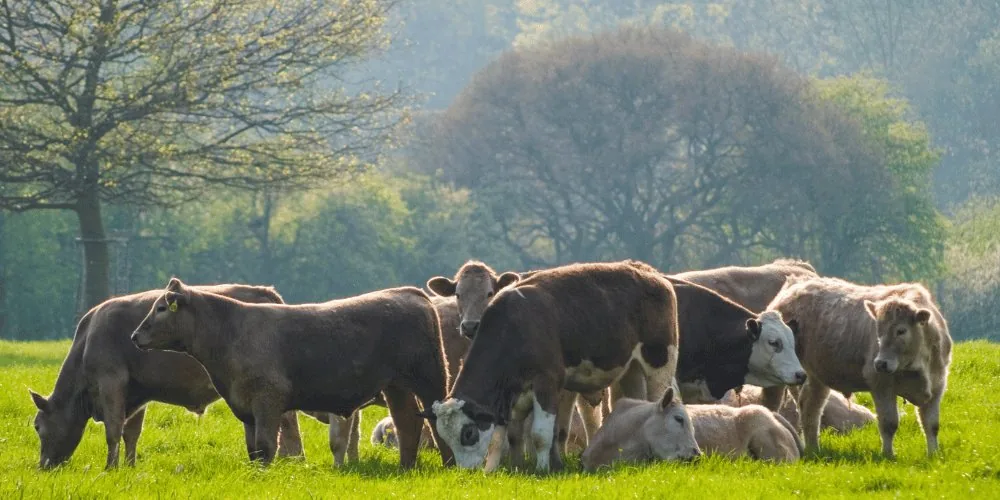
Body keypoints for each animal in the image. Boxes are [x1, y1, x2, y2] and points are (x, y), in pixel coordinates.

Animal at [27, 285, 304, 470]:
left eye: (37, 426)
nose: (43, 466)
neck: (87, 341)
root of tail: (267, 293)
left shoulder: (111, 384)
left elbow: (113, 430)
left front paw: (110, 468)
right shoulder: (135, 392)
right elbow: (131, 432)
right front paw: (129, 467)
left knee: (286, 423)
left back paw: (293, 461)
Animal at [130, 278, 455, 468]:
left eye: (161, 308)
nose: (134, 336)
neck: (231, 331)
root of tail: (408, 293)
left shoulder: (268, 401)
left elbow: (265, 446)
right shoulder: (245, 406)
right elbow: (253, 449)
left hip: (431, 379)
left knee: (436, 420)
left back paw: (450, 463)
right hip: (396, 385)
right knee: (407, 423)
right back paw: (405, 467)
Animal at [424, 261, 681, 472]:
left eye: (468, 433)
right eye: (444, 437)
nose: (465, 472)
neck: (516, 325)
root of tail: (653, 276)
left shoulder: (546, 382)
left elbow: (540, 434)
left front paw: (542, 469)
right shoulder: (511, 394)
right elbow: (506, 436)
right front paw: (505, 469)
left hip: (659, 362)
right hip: (631, 370)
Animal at [767, 277, 952, 457]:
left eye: (901, 331)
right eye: (878, 331)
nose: (880, 363)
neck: (916, 365)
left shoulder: (937, 386)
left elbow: (932, 425)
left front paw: (933, 454)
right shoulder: (881, 385)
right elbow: (889, 423)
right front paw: (888, 454)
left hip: (816, 378)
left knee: (810, 408)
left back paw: (813, 448)